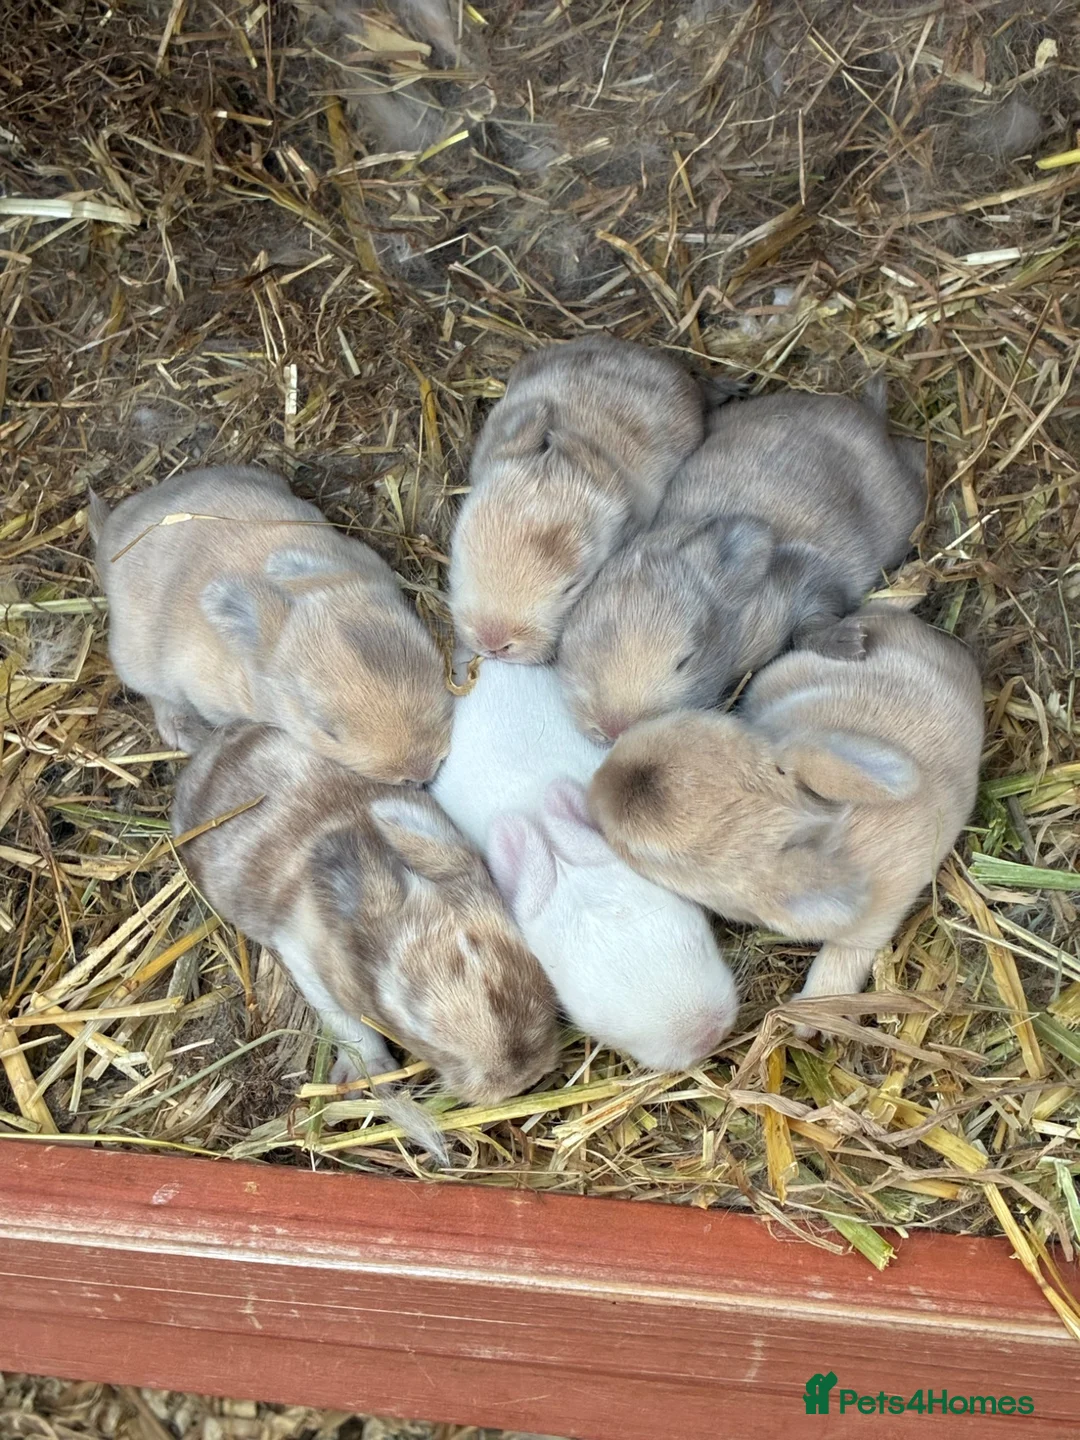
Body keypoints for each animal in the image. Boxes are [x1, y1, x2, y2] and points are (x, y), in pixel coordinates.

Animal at [172, 723, 560, 1102]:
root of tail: (212, 749)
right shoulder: (307, 967)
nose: (519, 1080)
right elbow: (352, 1026)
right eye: (412, 1019)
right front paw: (372, 1077)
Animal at [559, 382, 926, 741]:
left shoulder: (807, 585)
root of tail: (868, 415)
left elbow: (810, 625)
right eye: (573, 647)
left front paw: (851, 644)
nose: (612, 728)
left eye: (685, 661)